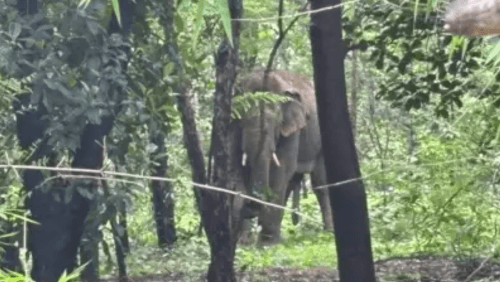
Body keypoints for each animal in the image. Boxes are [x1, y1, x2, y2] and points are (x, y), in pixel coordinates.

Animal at [232, 68, 334, 245]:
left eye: (276, 123)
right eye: (242, 123)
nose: (251, 208)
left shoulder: (293, 130)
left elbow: (281, 168)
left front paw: (266, 244)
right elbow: (240, 168)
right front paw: (242, 242)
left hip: (321, 143)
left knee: (320, 184)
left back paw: (329, 233)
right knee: (291, 183)